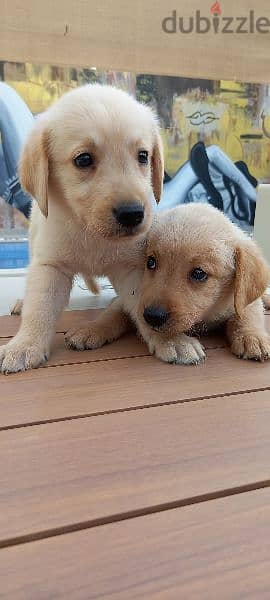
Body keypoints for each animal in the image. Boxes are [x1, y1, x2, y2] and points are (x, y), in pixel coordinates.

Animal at [0, 84, 163, 372]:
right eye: (84, 159)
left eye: (143, 156)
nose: (133, 214)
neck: (90, 230)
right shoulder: (50, 266)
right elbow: (40, 307)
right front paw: (25, 345)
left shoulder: (133, 268)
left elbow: (143, 305)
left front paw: (171, 341)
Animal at [65, 204, 270, 364]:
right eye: (151, 262)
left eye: (199, 273)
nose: (153, 316)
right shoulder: (129, 298)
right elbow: (112, 315)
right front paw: (90, 329)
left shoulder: (242, 299)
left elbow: (246, 314)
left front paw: (252, 337)